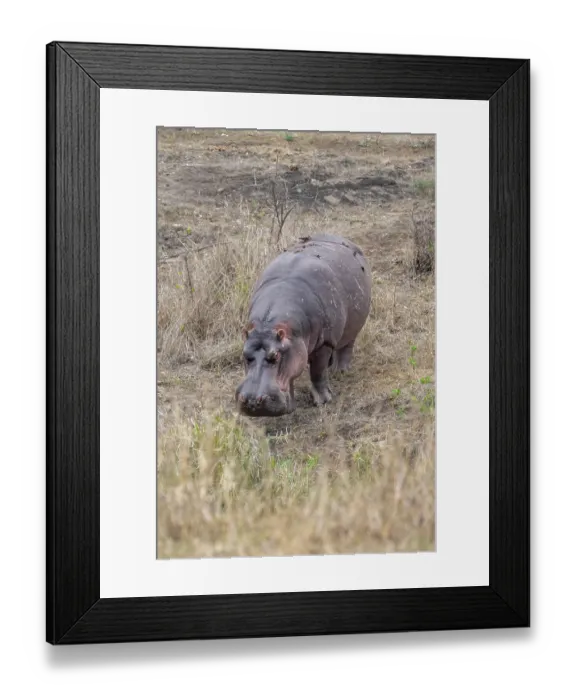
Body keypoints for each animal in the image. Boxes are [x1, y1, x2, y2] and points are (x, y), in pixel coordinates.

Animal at [235, 233, 372, 417]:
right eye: (245, 354)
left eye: (275, 356)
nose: (251, 401)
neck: (268, 327)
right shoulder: (293, 350)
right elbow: (291, 378)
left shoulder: (324, 343)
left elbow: (317, 372)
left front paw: (323, 401)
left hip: (354, 326)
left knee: (346, 346)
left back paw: (340, 371)